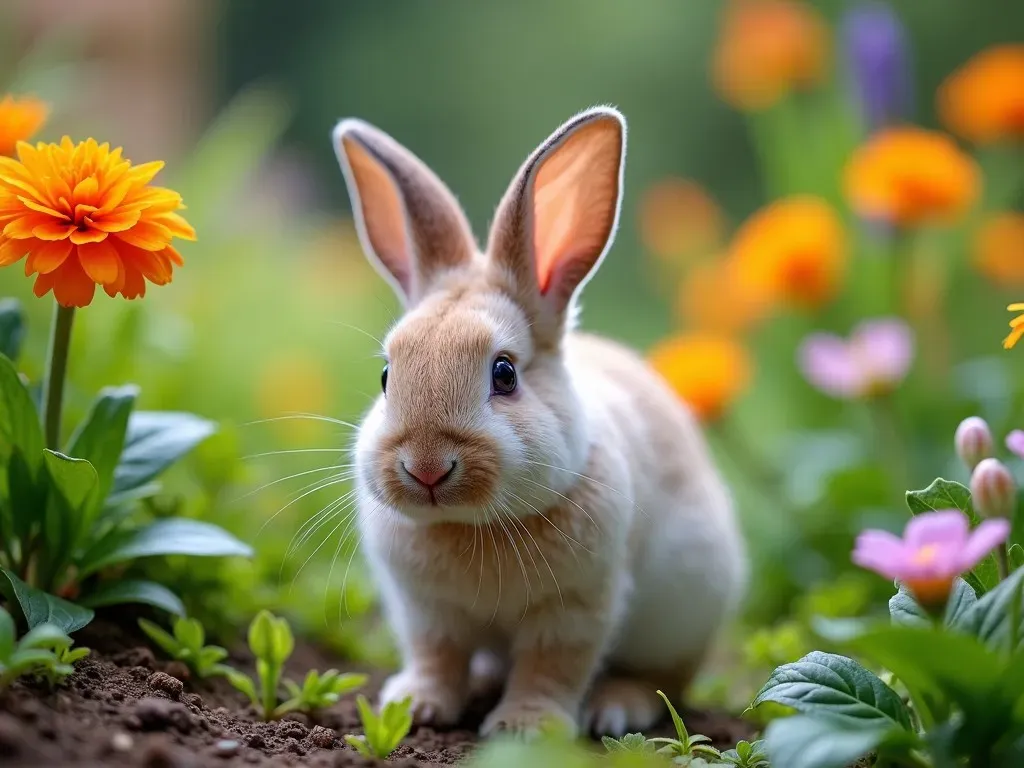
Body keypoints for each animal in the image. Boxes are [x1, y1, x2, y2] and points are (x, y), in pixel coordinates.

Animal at [331, 108, 749, 741]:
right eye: (385, 375)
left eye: (504, 373)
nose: (425, 466)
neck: (473, 527)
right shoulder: (426, 611)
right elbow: (436, 657)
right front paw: (415, 707)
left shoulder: (576, 608)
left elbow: (550, 667)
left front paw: (523, 729)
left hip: (686, 606)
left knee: (664, 679)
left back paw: (616, 708)